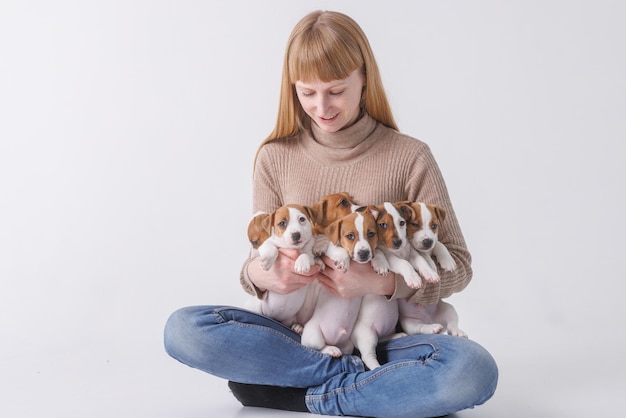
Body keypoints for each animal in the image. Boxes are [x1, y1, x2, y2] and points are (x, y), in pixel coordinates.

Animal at [300, 209, 378, 360]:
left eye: (371, 234)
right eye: (350, 236)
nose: (364, 253)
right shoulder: (332, 250)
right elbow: (338, 250)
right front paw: (342, 261)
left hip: (348, 346)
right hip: (313, 335)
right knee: (318, 347)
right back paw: (331, 350)